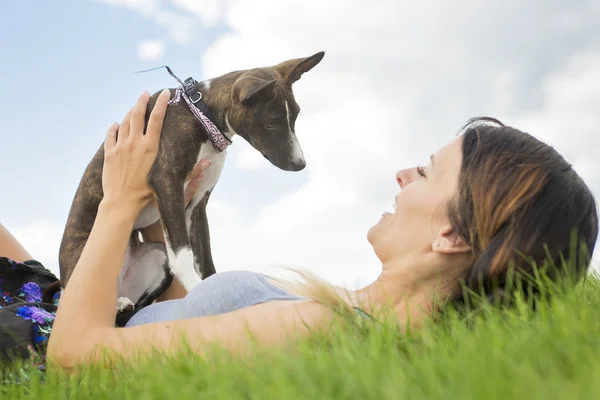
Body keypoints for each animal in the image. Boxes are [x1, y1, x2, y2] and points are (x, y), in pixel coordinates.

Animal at [58, 50, 326, 312]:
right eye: (272, 122)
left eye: (295, 117)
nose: (300, 164)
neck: (201, 116)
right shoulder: (166, 182)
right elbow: (183, 254)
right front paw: (197, 289)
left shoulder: (197, 204)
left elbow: (204, 259)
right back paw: (117, 303)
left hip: (157, 256)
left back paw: (122, 302)